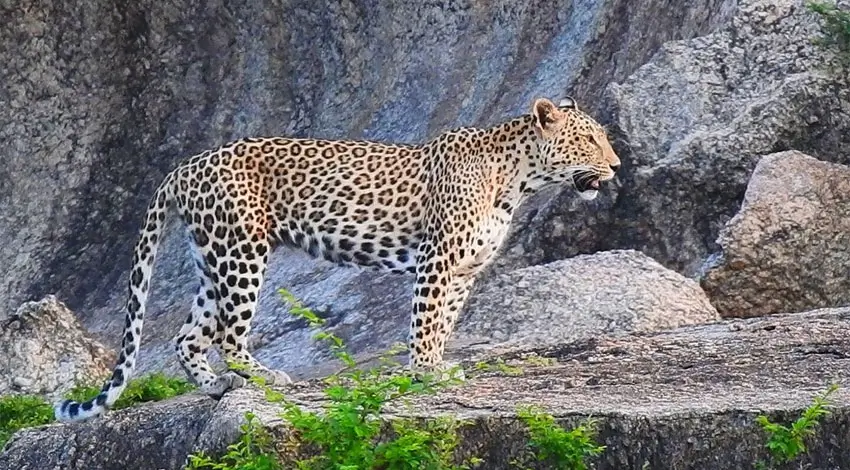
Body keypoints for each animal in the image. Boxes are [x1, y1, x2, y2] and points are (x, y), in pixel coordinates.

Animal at [55, 96, 620, 422]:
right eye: (590, 139)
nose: (616, 166)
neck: (519, 179)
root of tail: (184, 165)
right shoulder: (437, 261)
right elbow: (425, 322)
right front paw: (426, 373)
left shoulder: (464, 271)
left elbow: (444, 323)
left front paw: (438, 366)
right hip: (242, 252)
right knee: (229, 335)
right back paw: (265, 378)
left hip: (212, 257)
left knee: (188, 335)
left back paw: (218, 387)